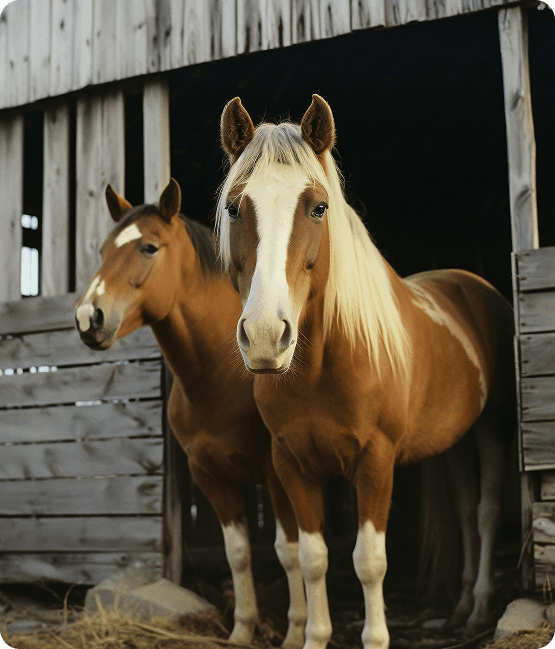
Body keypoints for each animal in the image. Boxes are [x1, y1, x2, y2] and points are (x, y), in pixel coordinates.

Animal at [74, 179, 308, 649]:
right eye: (104, 250)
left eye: (149, 247)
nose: (89, 317)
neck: (221, 378)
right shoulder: (211, 476)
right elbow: (238, 554)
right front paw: (242, 630)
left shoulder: (277, 475)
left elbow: (289, 551)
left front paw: (297, 632)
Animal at [215, 95, 515, 649]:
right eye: (233, 207)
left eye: (318, 207)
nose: (266, 335)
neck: (322, 369)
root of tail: (472, 285)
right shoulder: (291, 464)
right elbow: (313, 559)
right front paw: (314, 636)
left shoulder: (375, 463)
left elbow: (368, 561)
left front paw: (375, 636)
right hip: (455, 440)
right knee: (466, 509)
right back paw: (462, 608)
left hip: (492, 429)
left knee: (486, 513)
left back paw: (482, 608)